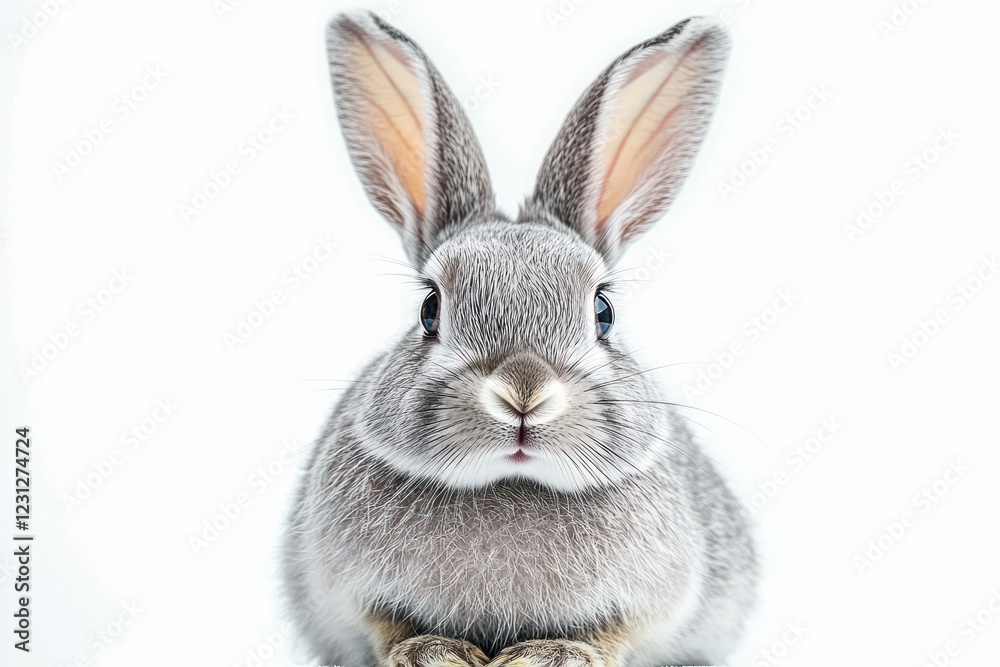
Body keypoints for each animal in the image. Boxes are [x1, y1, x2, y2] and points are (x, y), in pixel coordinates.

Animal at [283, 10, 757, 667]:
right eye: (429, 309)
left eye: (603, 311)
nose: (523, 391)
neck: (511, 481)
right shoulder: (347, 591)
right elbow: (387, 625)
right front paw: (433, 653)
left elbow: (615, 633)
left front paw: (550, 655)